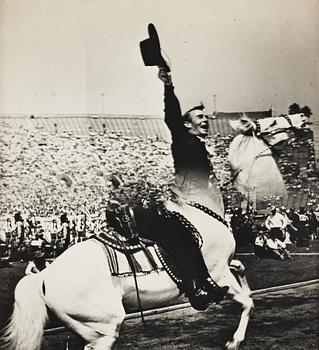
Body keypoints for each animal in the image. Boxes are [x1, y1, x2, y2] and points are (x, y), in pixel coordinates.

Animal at [0, 200, 255, 350]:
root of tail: (44, 276)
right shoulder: (218, 275)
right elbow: (247, 303)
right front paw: (235, 340)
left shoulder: (225, 269)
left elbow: (241, 268)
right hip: (106, 325)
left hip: (91, 328)